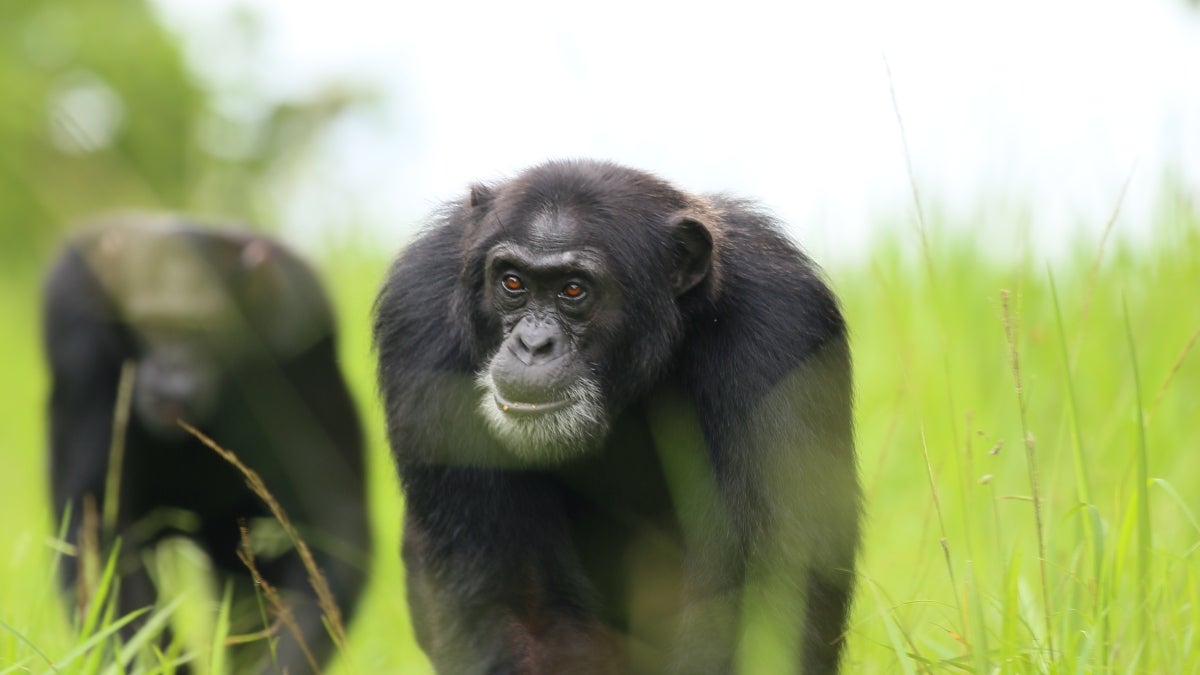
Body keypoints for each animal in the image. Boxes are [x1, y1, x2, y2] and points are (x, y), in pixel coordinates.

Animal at [43, 216, 369, 672]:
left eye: (204, 329)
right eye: (151, 325)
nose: (172, 368)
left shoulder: (304, 339)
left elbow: (326, 525)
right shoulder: (75, 332)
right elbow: (100, 527)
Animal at [374, 158, 864, 672]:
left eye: (573, 289)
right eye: (512, 283)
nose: (533, 344)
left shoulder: (780, 321)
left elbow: (759, 591)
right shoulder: (420, 315)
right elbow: (517, 606)